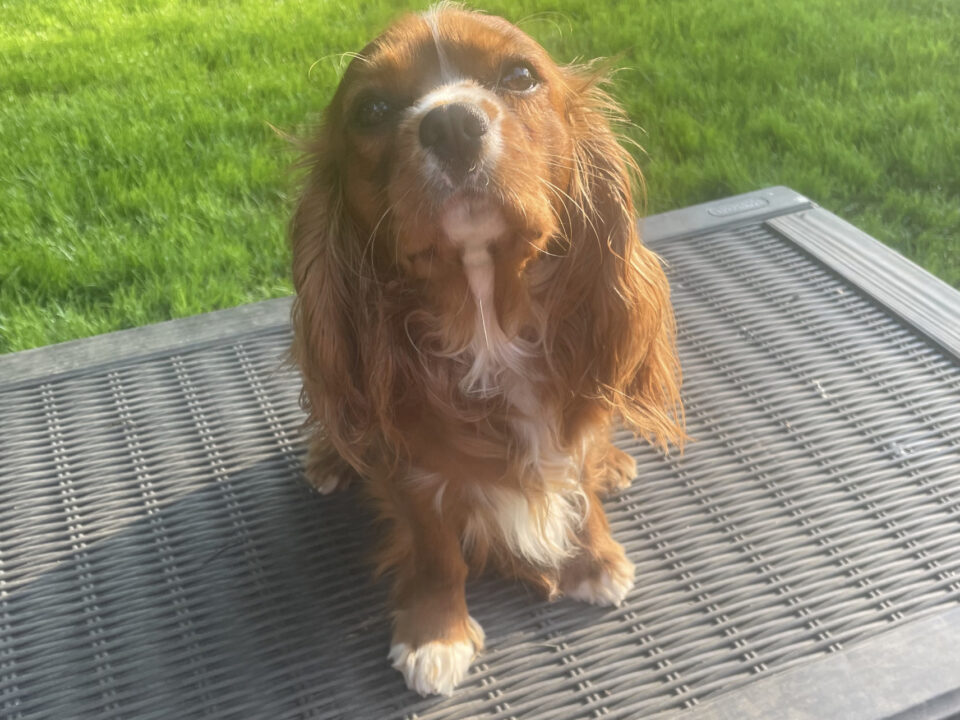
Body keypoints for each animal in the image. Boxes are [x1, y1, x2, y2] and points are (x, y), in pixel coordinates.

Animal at [290, 5, 684, 696]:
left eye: (520, 76)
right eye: (370, 110)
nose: (451, 123)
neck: (484, 320)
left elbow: (578, 476)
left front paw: (592, 559)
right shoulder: (411, 467)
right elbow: (436, 550)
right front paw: (435, 634)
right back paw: (330, 461)